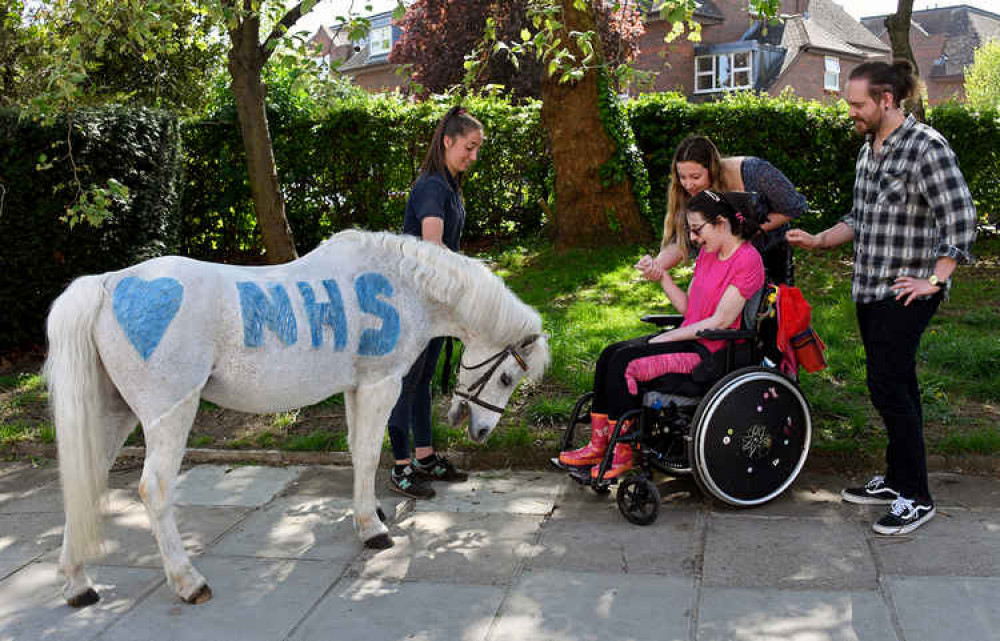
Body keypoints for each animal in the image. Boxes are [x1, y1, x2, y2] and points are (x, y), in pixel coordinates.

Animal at [43, 229, 552, 604]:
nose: (480, 430)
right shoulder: (381, 385)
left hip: (112, 413)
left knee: (84, 480)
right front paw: (373, 530)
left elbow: (356, 453)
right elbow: (370, 454)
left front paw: (369, 511)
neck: (402, 286)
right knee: (154, 489)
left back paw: (77, 583)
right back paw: (187, 581)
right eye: (507, 377)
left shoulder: (354, 389)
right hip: (171, 414)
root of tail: (107, 284)